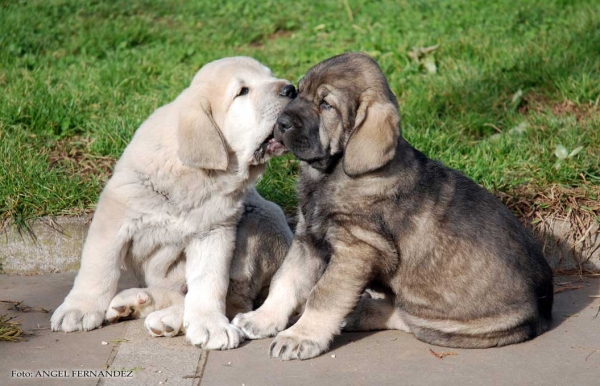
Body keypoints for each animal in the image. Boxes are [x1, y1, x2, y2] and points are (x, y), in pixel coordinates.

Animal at [233, 52, 552, 360]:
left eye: (326, 105)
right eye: (299, 92)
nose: (281, 123)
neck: (332, 172)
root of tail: (545, 310)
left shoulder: (357, 249)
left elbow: (322, 295)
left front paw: (300, 337)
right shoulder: (307, 239)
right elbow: (286, 281)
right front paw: (261, 319)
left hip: (449, 324)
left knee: (404, 316)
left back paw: (359, 312)